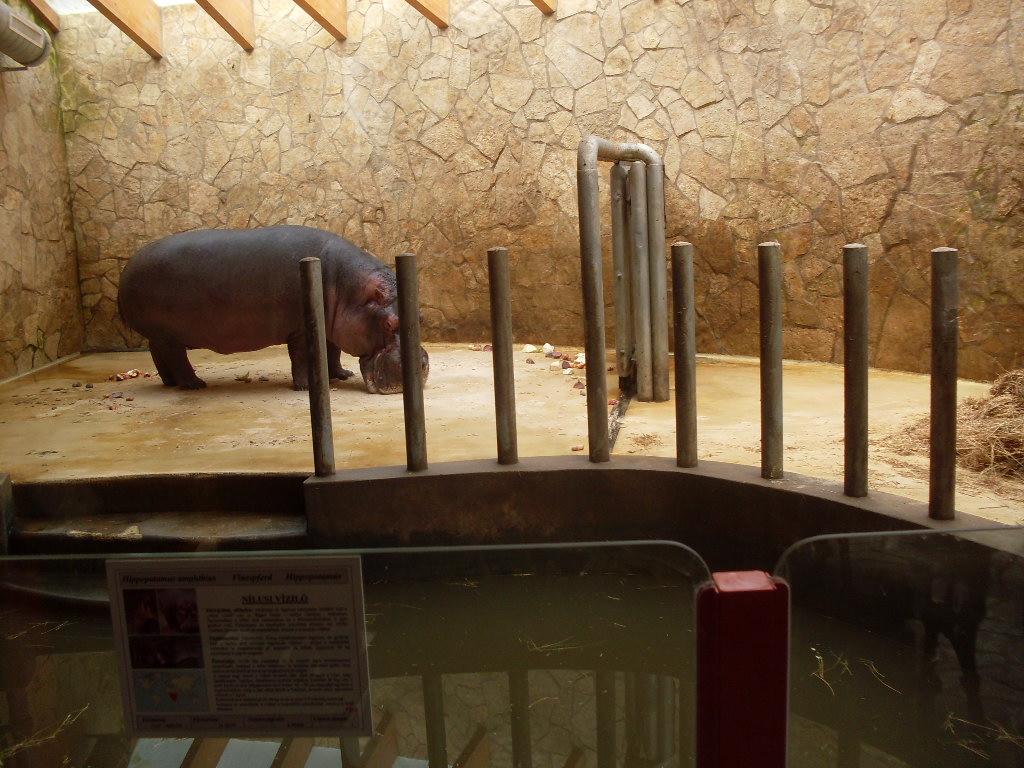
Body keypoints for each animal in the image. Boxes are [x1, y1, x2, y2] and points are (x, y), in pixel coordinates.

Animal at [117, 225, 428, 393]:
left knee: (158, 355)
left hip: (159, 335)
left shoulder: (331, 325)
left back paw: (171, 383)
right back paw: (195, 384)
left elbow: (333, 351)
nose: (422, 365)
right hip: (168, 335)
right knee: (177, 358)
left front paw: (341, 375)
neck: (349, 289)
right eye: (388, 324)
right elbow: (302, 357)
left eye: (421, 317)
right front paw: (307, 387)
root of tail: (127, 268)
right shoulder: (301, 329)